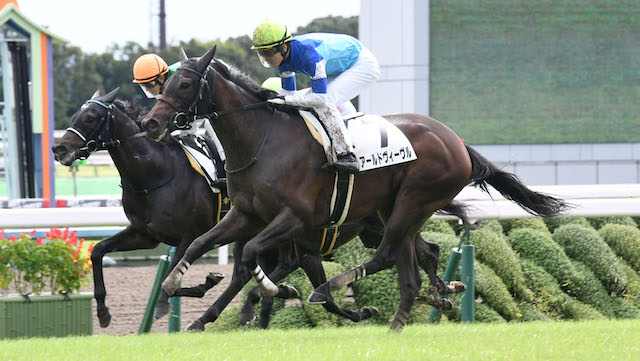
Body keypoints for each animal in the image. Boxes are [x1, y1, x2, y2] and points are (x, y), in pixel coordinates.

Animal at [142, 47, 568, 332]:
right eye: (164, 82)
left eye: (185, 82)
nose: (150, 123)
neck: (263, 140)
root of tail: (457, 142)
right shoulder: (245, 214)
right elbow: (201, 245)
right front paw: (175, 289)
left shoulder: (294, 219)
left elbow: (248, 257)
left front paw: (274, 291)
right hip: (395, 209)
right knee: (415, 260)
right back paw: (423, 304)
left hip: (413, 200)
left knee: (387, 255)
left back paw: (341, 288)